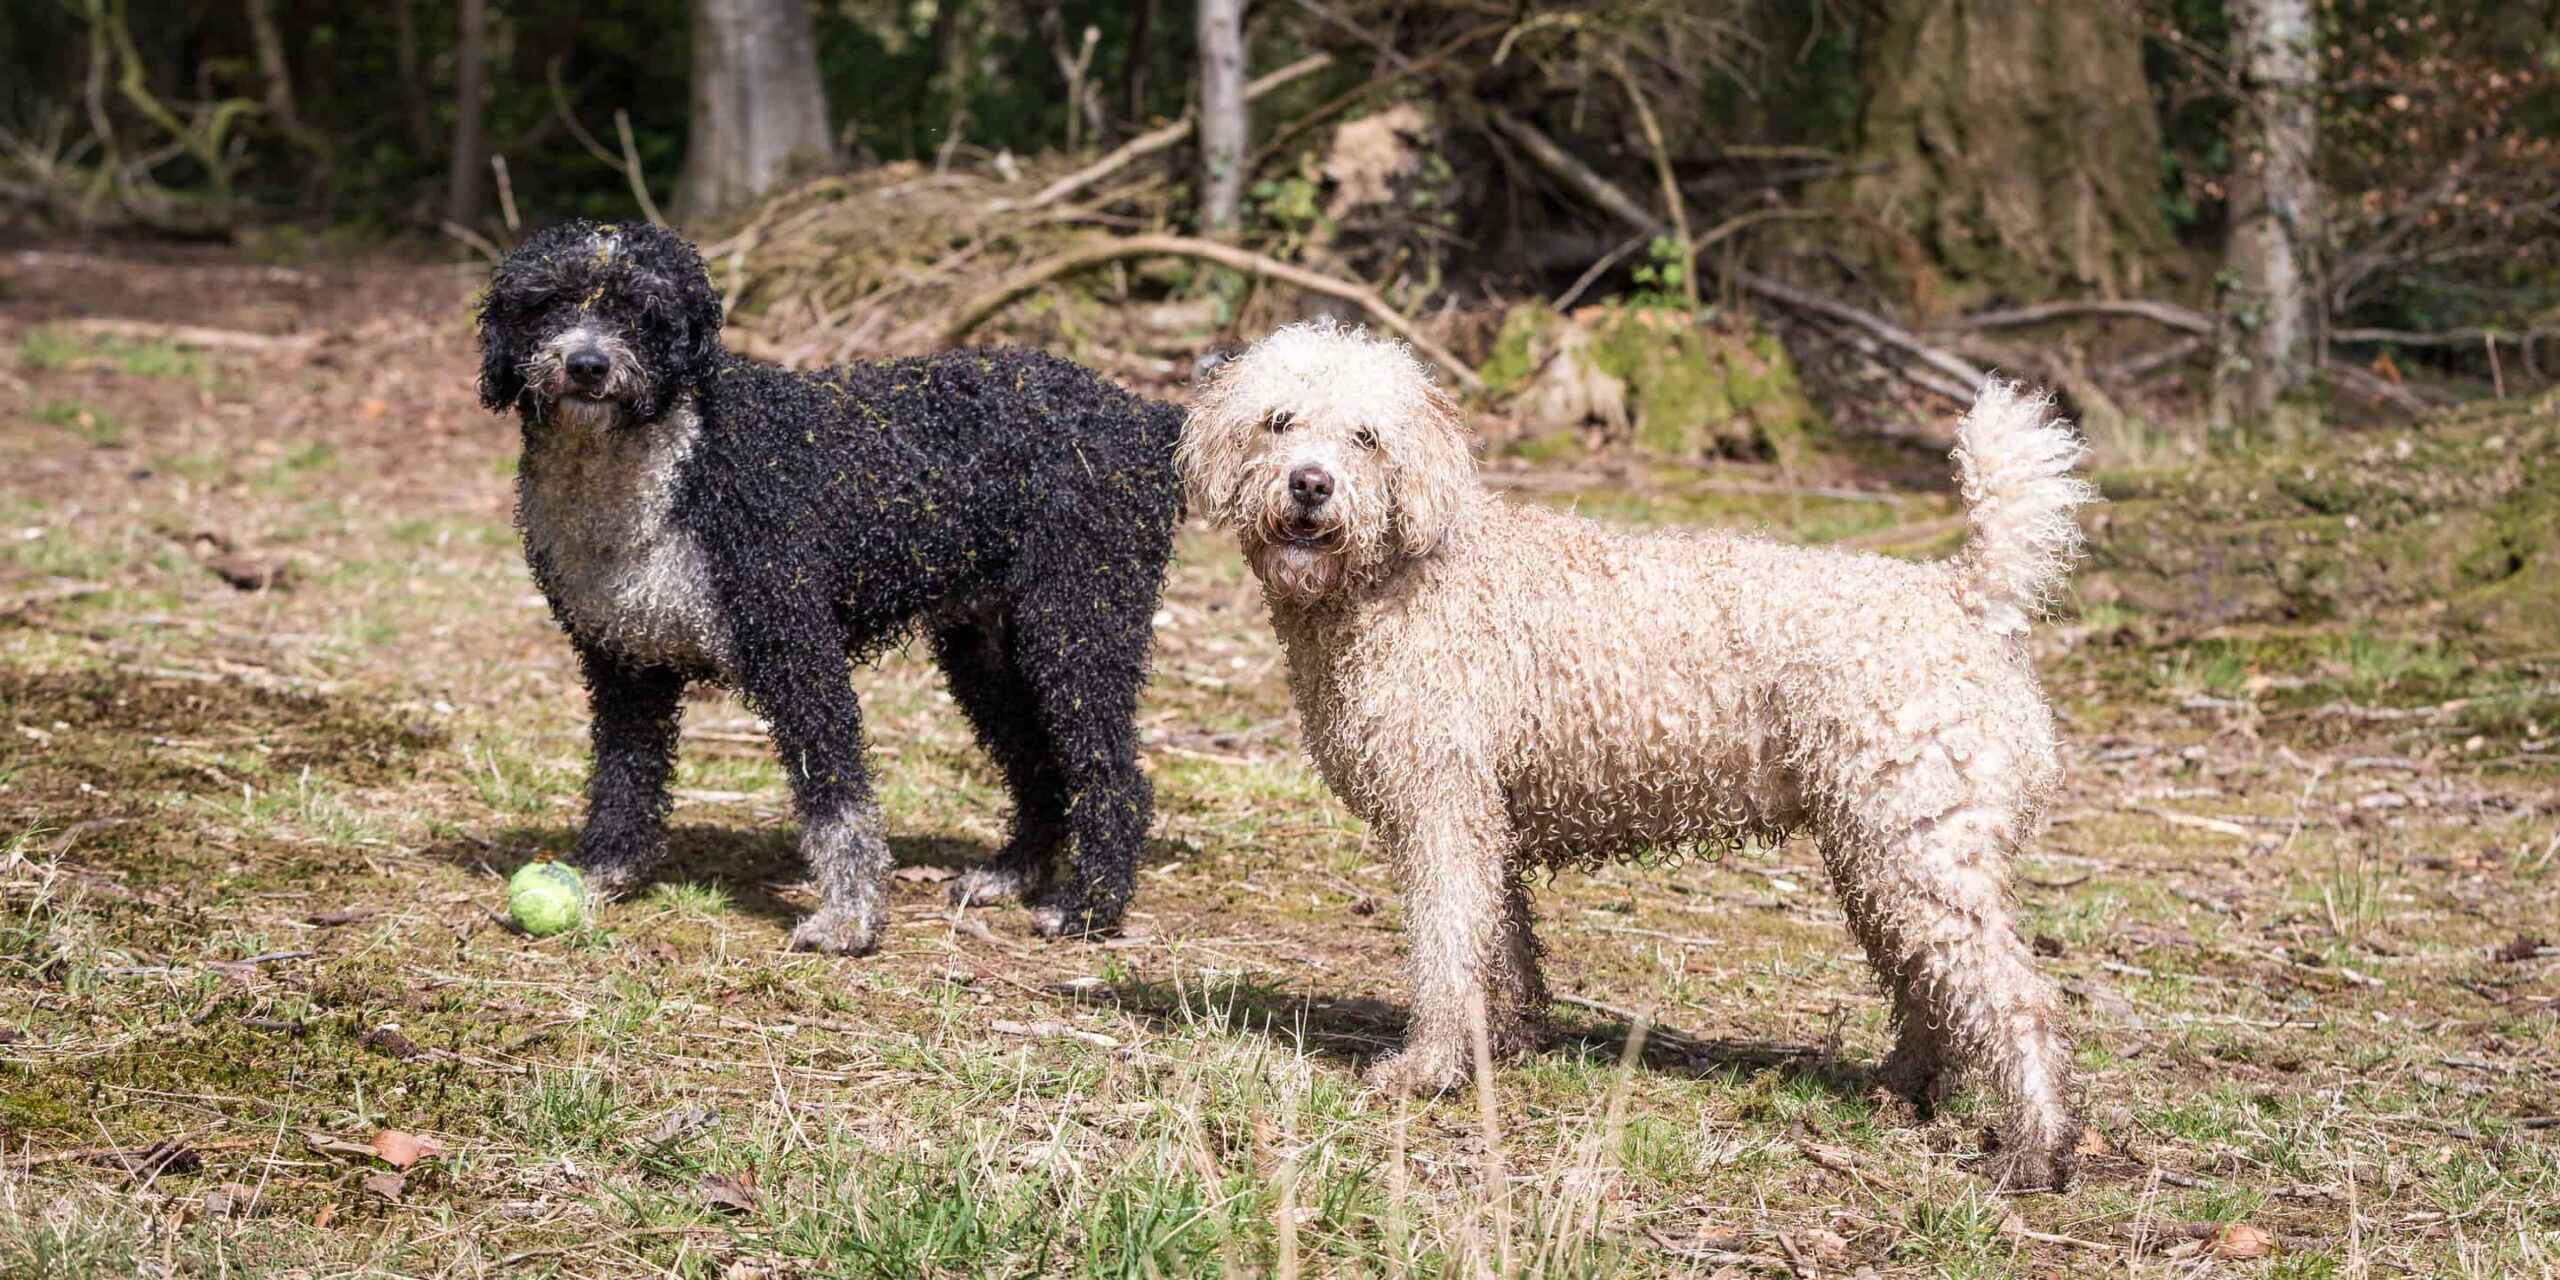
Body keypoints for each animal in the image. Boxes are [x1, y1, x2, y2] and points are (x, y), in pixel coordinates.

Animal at [478, 220, 1177, 952]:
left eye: (640, 307)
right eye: (548, 303)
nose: (587, 364)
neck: (671, 463)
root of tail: (1142, 414)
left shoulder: (796, 651)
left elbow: (836, 797)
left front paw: (850, 915)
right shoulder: (624, 664)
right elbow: (623, 781)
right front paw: (600, 873)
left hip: (1077, 627)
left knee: (1115, 778)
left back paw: (1089, 906)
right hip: (989, 652)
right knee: (1038, 767)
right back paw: (1012, 874)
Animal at [1177, 317, 2099, 1187]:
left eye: (1368, 437)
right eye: (1279, 421)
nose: (1310, 484)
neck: (1407, 574)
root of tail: (1968, 596)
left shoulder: (1443, 809)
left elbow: (1446, 950)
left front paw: (1428, 1068)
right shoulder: (1487, 817)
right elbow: (1501, 947)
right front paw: (1507, 1043)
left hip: (1919, 846)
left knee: (2017, 1000)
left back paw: (2036, 1152)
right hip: (1880, 848)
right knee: (1927, 985)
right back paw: (1902, 1090)